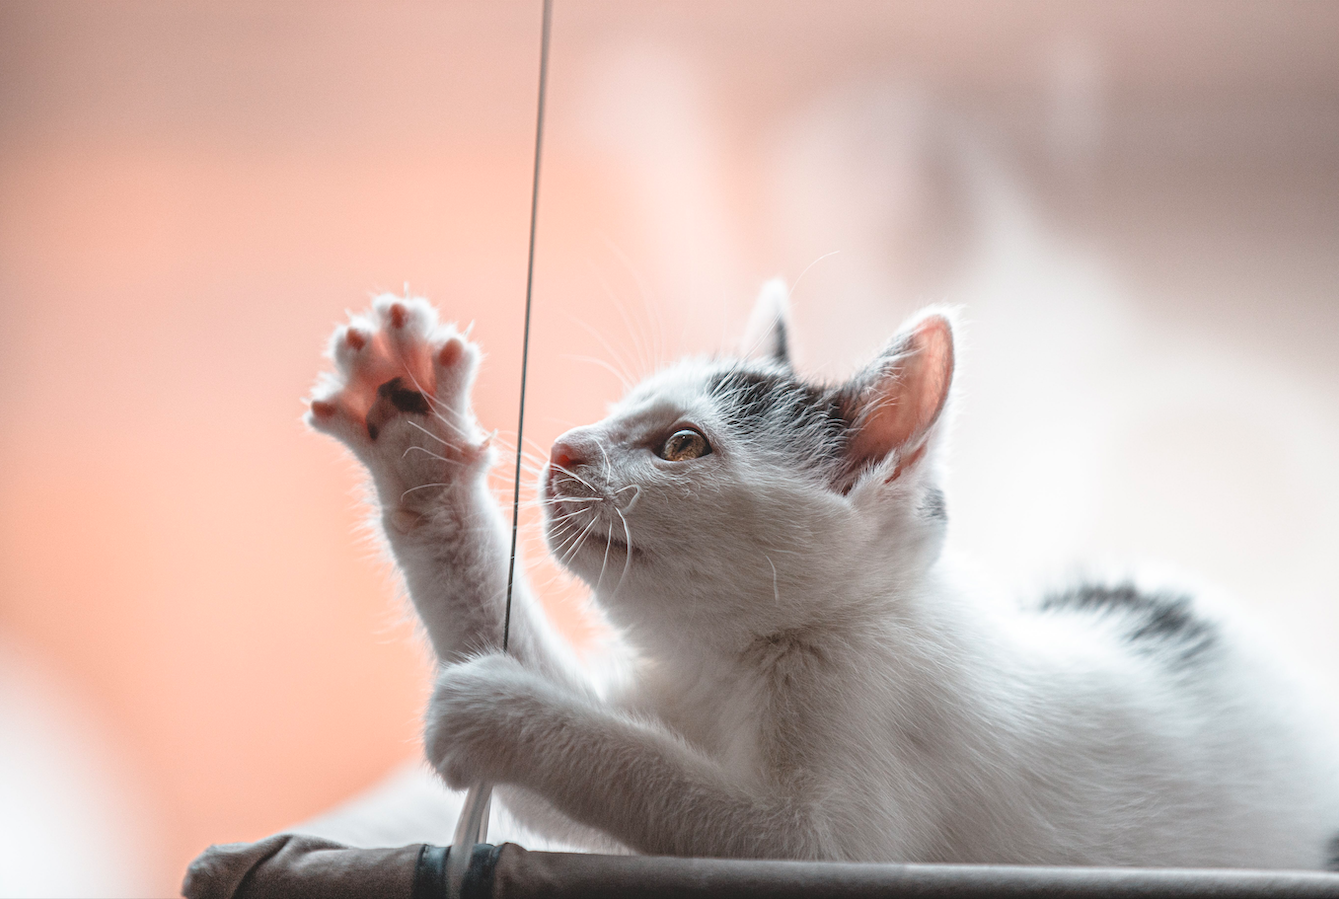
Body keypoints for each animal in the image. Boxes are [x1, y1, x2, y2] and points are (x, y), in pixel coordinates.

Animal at [306, 286, 1339, 862]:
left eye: (682, 445)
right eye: (622, 409)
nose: (563, 448)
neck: (744, 657)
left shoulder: (840, 809)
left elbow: (687, 795)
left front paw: (497, 709)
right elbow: (553, 743)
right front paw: (415, 439)